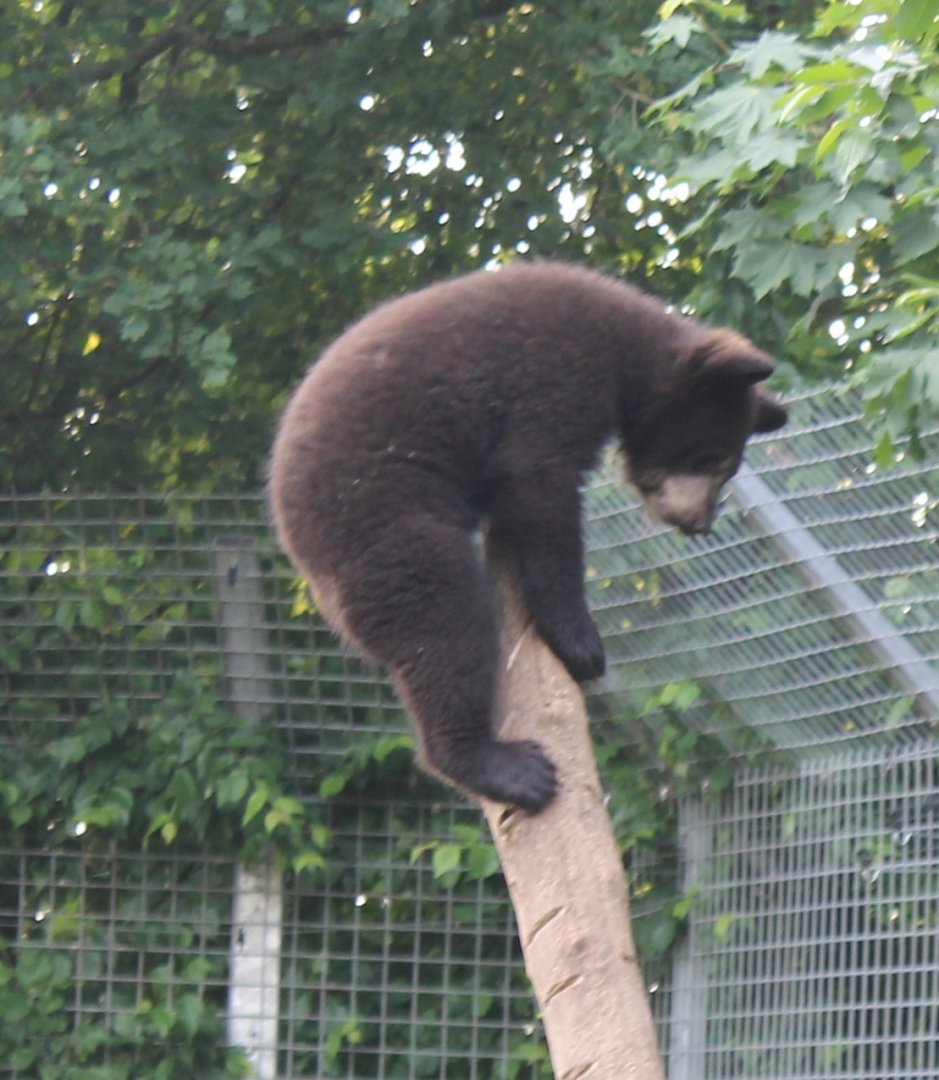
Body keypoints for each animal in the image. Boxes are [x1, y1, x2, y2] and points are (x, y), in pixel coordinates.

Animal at [268, 261, 787, 812]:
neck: (629, 350)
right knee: (444, 625)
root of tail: (298, 549)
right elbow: (539, 487)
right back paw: (502, 766)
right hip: (382, 526)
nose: (699, 523)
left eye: (727, 467)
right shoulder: (554, 376)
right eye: (714, 457)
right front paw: (582, 645)